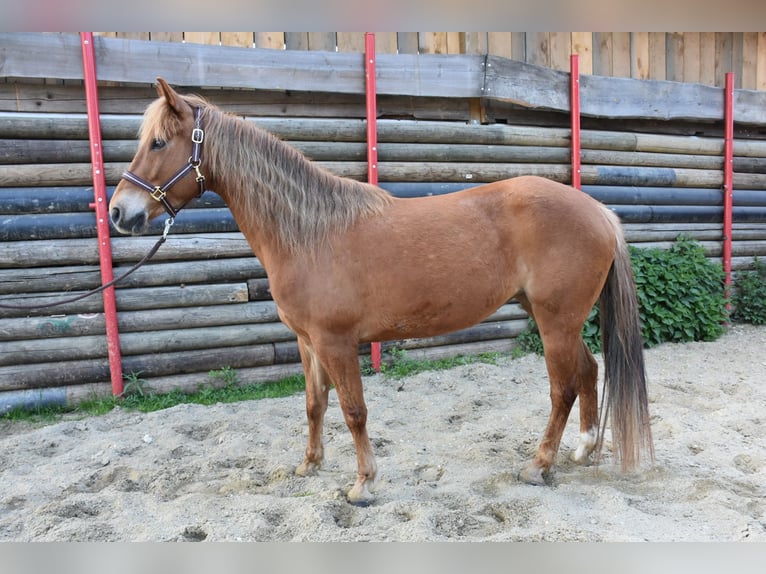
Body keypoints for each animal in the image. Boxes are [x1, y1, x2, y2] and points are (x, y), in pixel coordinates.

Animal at [110, 78, 653, 505]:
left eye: (158, 142)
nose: (118, 212)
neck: (308, 231)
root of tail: (598, 211)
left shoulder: (336, 342)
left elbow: (354, 412)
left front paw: (363, 485)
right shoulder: (308, 342)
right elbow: (314, 405)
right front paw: (310, 465)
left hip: (555, 320)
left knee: (563, 387)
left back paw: (539, 466)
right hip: (558, 318)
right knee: (589, 370)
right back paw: (582, 449)